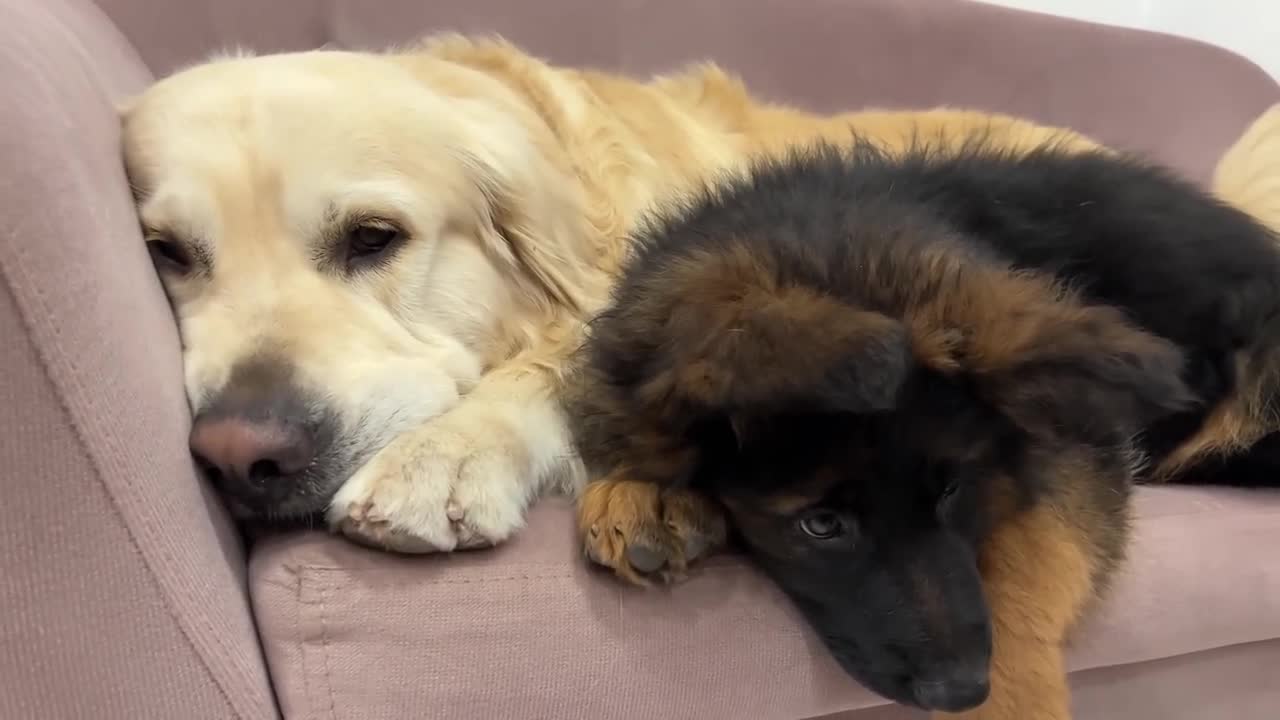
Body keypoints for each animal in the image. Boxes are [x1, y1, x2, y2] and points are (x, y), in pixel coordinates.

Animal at [565, 135, 1280, 717]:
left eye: (954, 491)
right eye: (820, 525)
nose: (960, 691)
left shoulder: (1076, 444)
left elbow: (1035, 551)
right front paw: (649, 490)